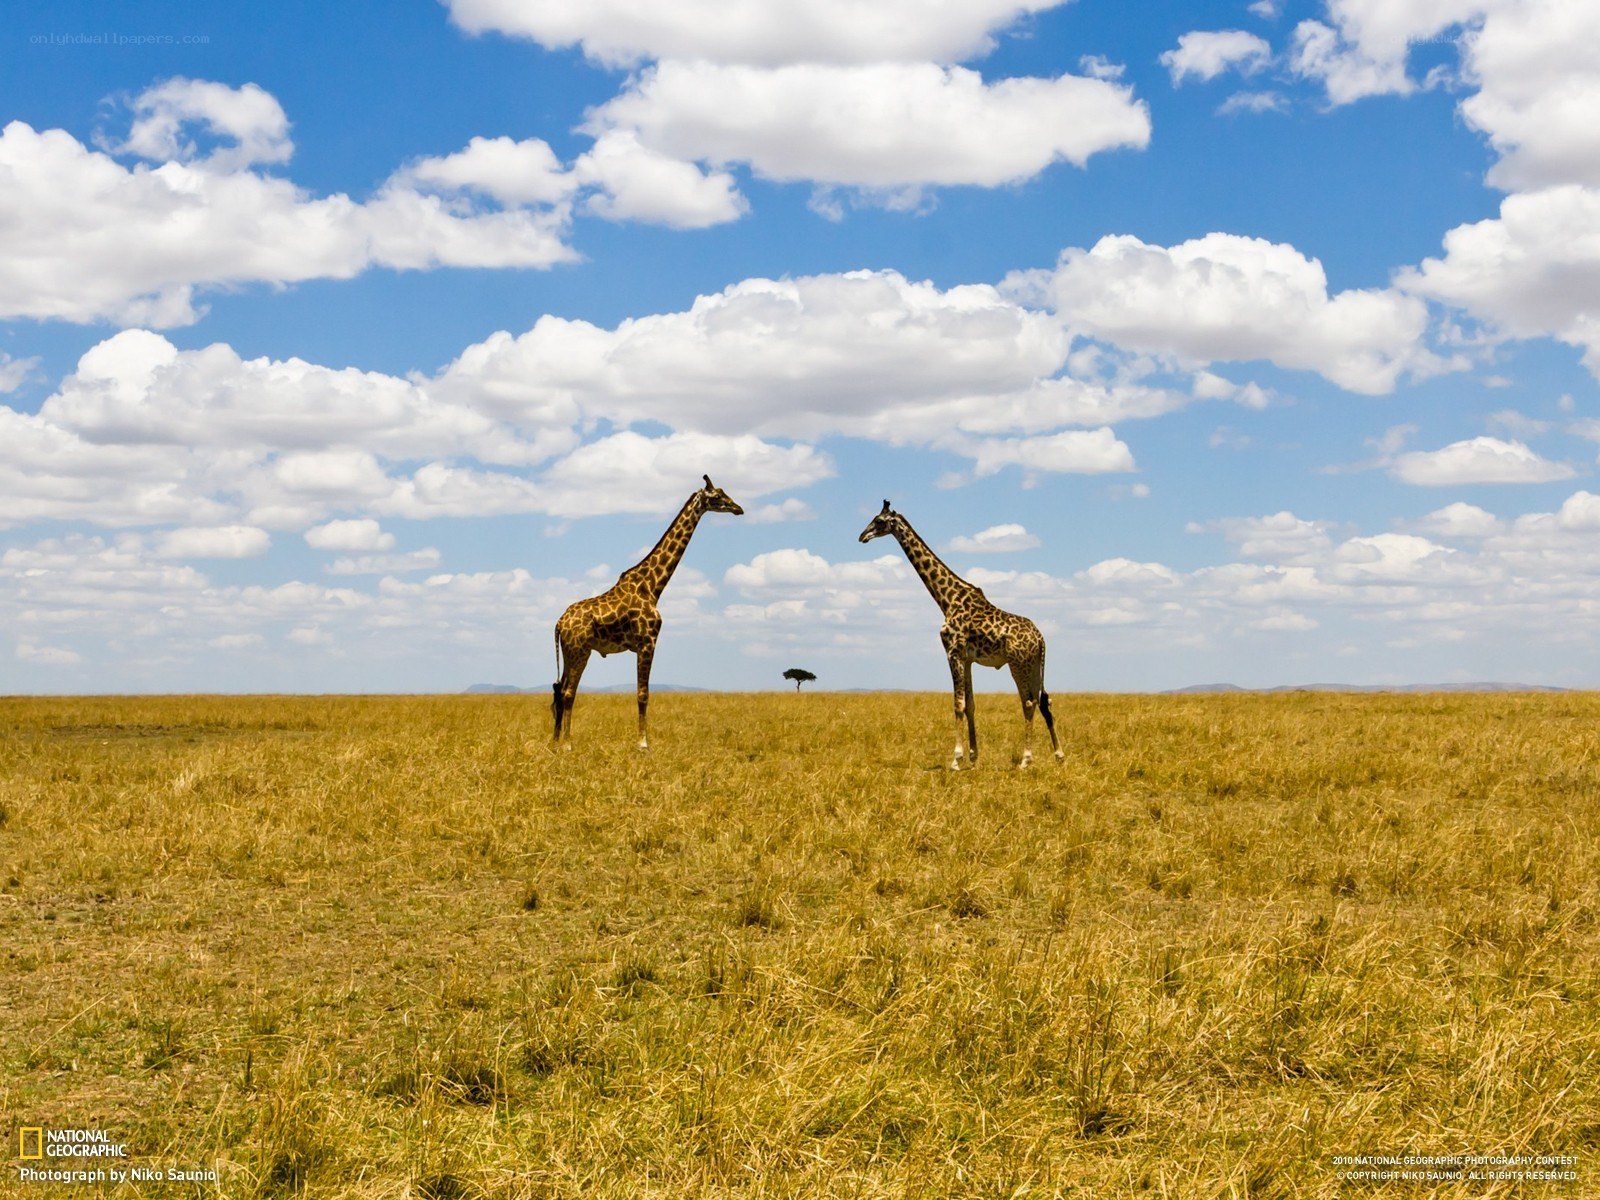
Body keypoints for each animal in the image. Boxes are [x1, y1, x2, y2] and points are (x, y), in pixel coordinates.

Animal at [552, 476, 744, 750]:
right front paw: (643, 743)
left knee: (559, 689)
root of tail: (559, 622)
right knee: (569, 692)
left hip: (570, 651)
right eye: (717, 496)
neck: (653, 586)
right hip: (580, 651)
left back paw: (555, 741)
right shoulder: (647, 641)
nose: (738, 508)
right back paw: (567, 744)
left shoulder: (644, 644)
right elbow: (643, 694)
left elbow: (642, 693)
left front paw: (642, 741)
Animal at [859, 501, 1063, 770]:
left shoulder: (952, 653)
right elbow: (971, 705)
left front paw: (956, 759)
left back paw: (1025, 760)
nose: (862, 536)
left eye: (879, 521)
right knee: (1044, 701)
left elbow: (958, 704)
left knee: (1028, 703)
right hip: (1034, 664)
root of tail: (1041, 640)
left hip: (1018, 663)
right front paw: (973, 758)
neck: (946, 600)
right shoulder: (967, 659)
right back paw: (1059, 755)